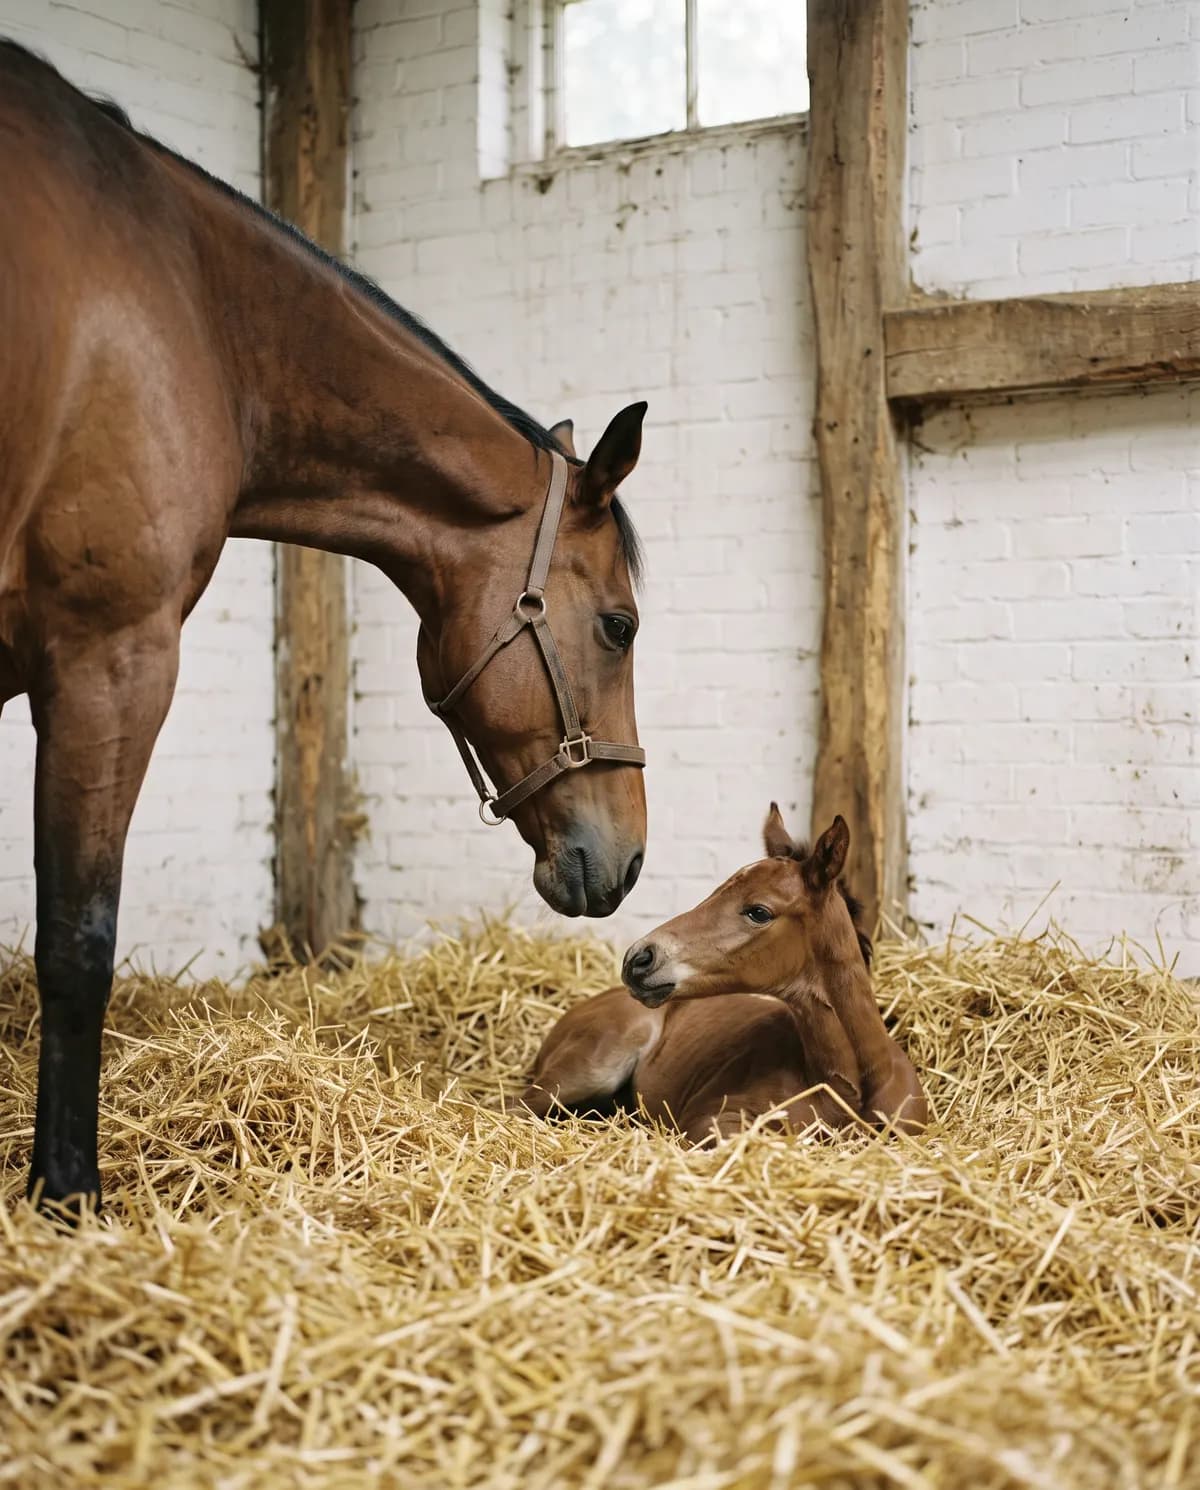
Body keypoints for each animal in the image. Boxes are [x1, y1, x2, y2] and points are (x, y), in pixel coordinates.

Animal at [0, 41, 648, 1210]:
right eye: (618, 624)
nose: (629, 858)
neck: (208, 322)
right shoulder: (109, 659)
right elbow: (78, 940)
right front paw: (67, 1193)